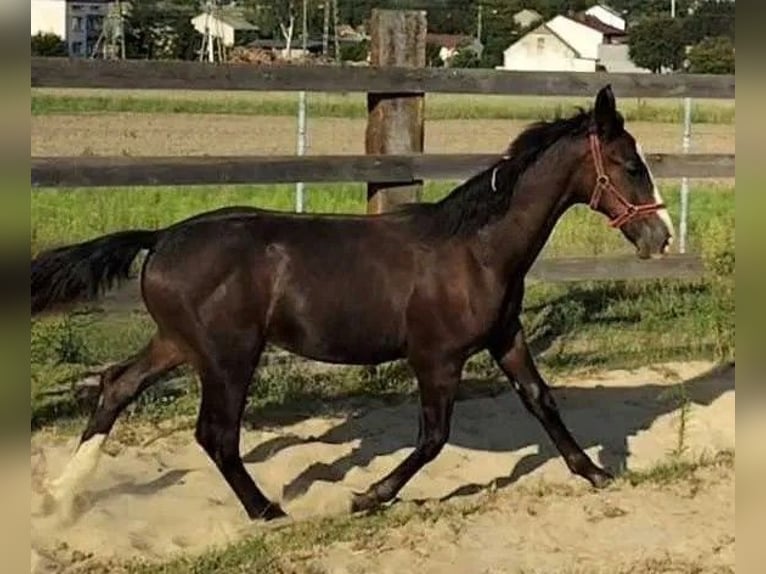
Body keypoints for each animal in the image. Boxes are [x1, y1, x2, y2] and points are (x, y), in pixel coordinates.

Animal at [33, 85, 676, 520]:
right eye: (630, 166)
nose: (661, 237)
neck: (476, 249)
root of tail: (162, 237)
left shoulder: (505, 337)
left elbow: (542, 401)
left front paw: (597, 473)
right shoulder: (437, 358)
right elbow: (433, 437)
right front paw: (369, 495)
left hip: (178, 343)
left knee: (116, 386)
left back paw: (61, 497)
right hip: (228, 356)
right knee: (215, 433)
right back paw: (267, 511)